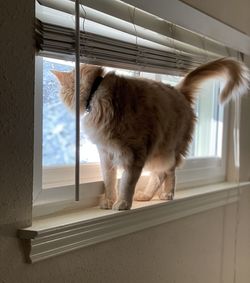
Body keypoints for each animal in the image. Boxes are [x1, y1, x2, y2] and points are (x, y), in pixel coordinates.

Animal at [51, 57, 249, 211]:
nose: (60, 98)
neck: (97, 92)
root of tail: (179, 90)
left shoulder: (135, 152)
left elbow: (127, 182)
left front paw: (123, 203)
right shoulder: (105, 153)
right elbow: (109, 180)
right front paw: (109, 200)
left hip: (167, 149)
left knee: (167, 173)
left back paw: (167, 193)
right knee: (158, 174)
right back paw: (146, 195)